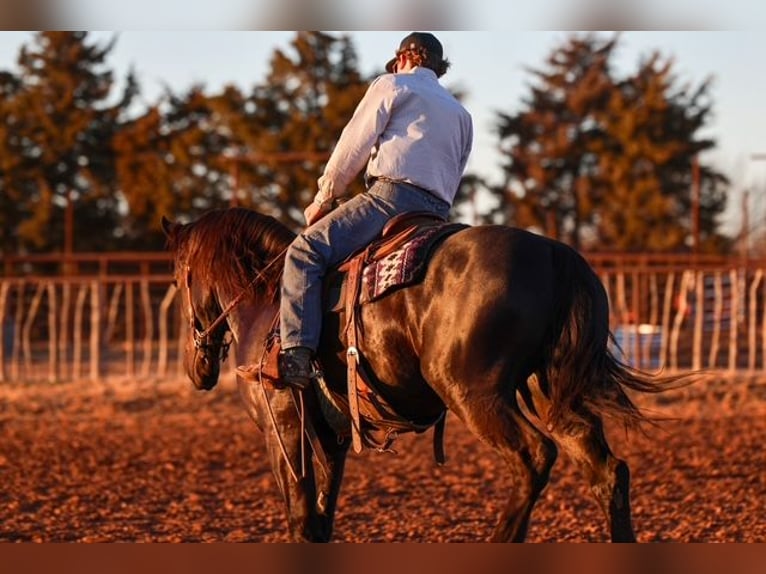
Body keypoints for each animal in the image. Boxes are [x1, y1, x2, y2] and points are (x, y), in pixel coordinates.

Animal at [163, 206, 682, 542]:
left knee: (534, 457)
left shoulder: (284, 428)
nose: (196, 368)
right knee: (606, 469)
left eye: (178, 278)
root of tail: (554, 252)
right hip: (549, 392)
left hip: (475, 394)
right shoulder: (331, 437)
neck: (266, 298)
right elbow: (321, 518)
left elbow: (300, 516)